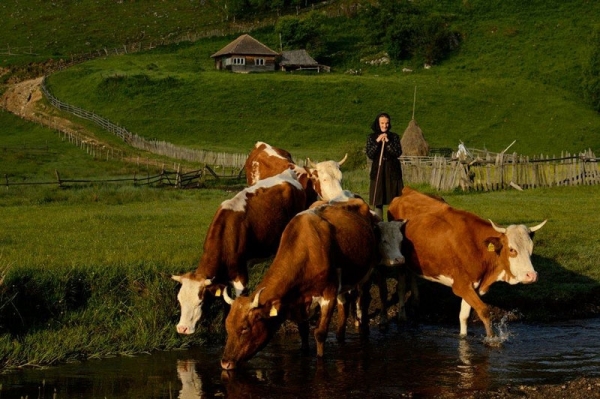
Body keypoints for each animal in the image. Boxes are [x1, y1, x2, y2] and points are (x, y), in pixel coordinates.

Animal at [172, 170, 304, 336]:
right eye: (179, 300)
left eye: (200, 302)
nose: (182, 329)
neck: (227, 235)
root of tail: (287, 173)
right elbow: (225, 301)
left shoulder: (241, 276)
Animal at [219, 202, 404, 370]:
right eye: (227, 326)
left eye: (245, 328)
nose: (225, 363)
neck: (307, 250)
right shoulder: (299, 302)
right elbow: (303, 331)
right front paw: (304, 351)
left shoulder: (329, 293)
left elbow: (320, 333)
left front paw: (320, 359)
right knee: (344, 304)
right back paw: (340, 337)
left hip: (367, 273)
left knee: (363, 300)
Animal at [386, 189, 548, 340]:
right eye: (512, 249)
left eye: (531, 248)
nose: (532, 275)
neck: (477, 247)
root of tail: (407, 191)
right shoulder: (461, 286)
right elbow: (484, 310)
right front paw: (492, 339)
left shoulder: (472, 285)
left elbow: (464, 316)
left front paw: (463, 337)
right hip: (400, 260)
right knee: (401, 287)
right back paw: (402, 317)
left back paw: (416, 301)